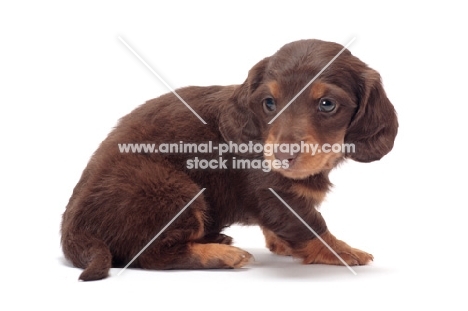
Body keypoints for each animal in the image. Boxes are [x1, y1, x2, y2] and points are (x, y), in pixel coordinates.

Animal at [61, 38, 398, 280]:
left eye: (327, 104)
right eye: (269, 103)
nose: (282, 156)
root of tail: (72, 229)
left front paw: (280, 243)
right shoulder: (273, 194)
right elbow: (310, 225)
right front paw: (343, 250)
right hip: (172, 188)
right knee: (153, 255)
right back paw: (221, 255)